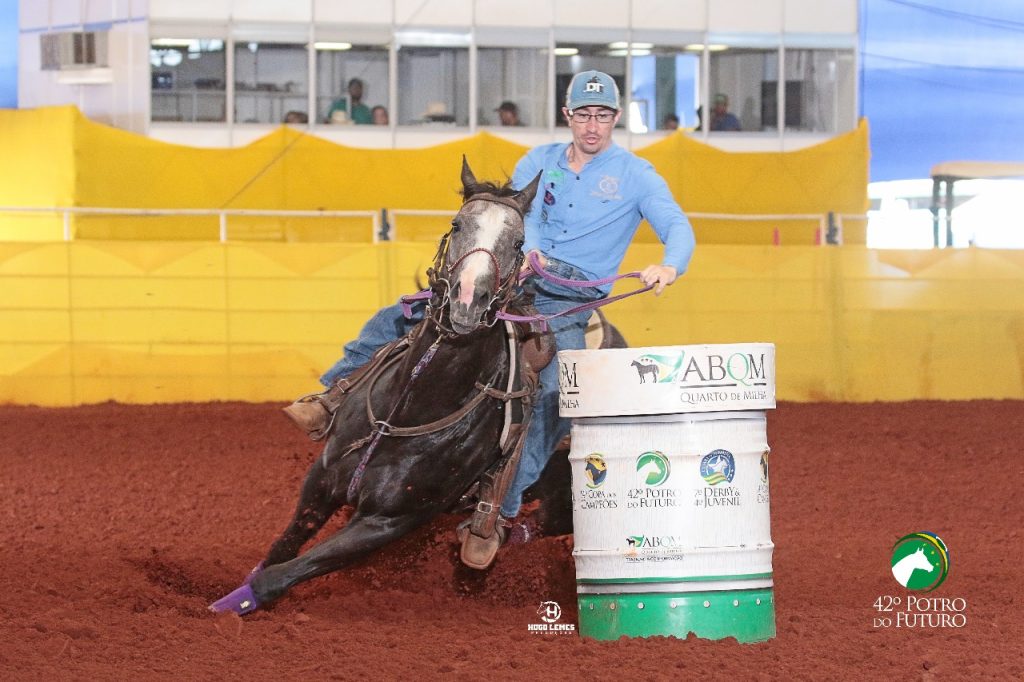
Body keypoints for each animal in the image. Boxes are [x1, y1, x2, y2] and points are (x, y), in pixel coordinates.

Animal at [208, 157, 544, 610]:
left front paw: (231, 606)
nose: (467, 300)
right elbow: (282, 548)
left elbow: (281, 574)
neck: (411, 407)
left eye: (518, 241)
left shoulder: (388, 522)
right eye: (457, 225)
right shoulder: (323, 477)